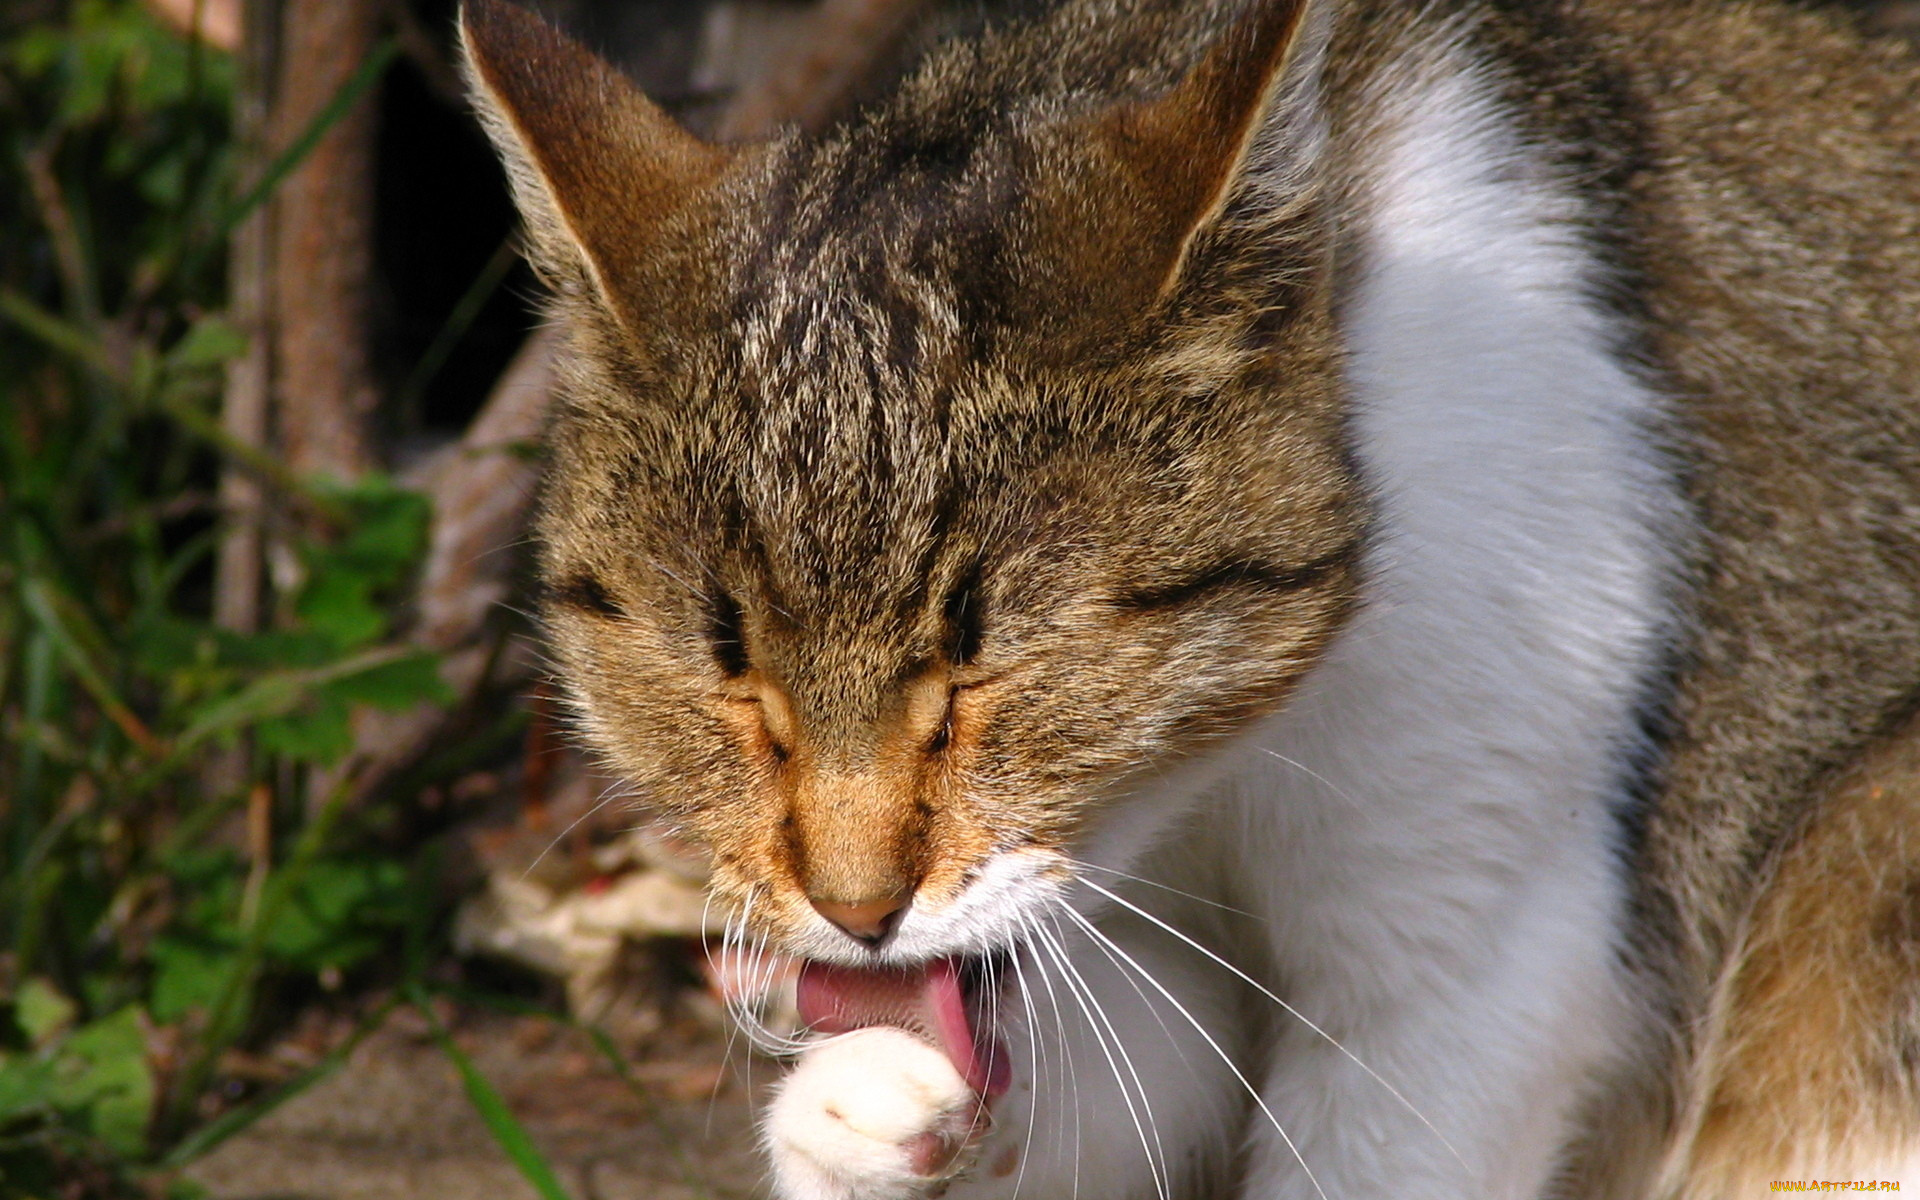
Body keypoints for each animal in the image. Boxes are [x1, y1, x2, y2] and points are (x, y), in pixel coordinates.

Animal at [456, 0, 1920, 1190]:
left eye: (984, 661)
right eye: (734, 677)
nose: (858, 920)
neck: (1207, 787)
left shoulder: (1467, 965)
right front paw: (860, 1105)